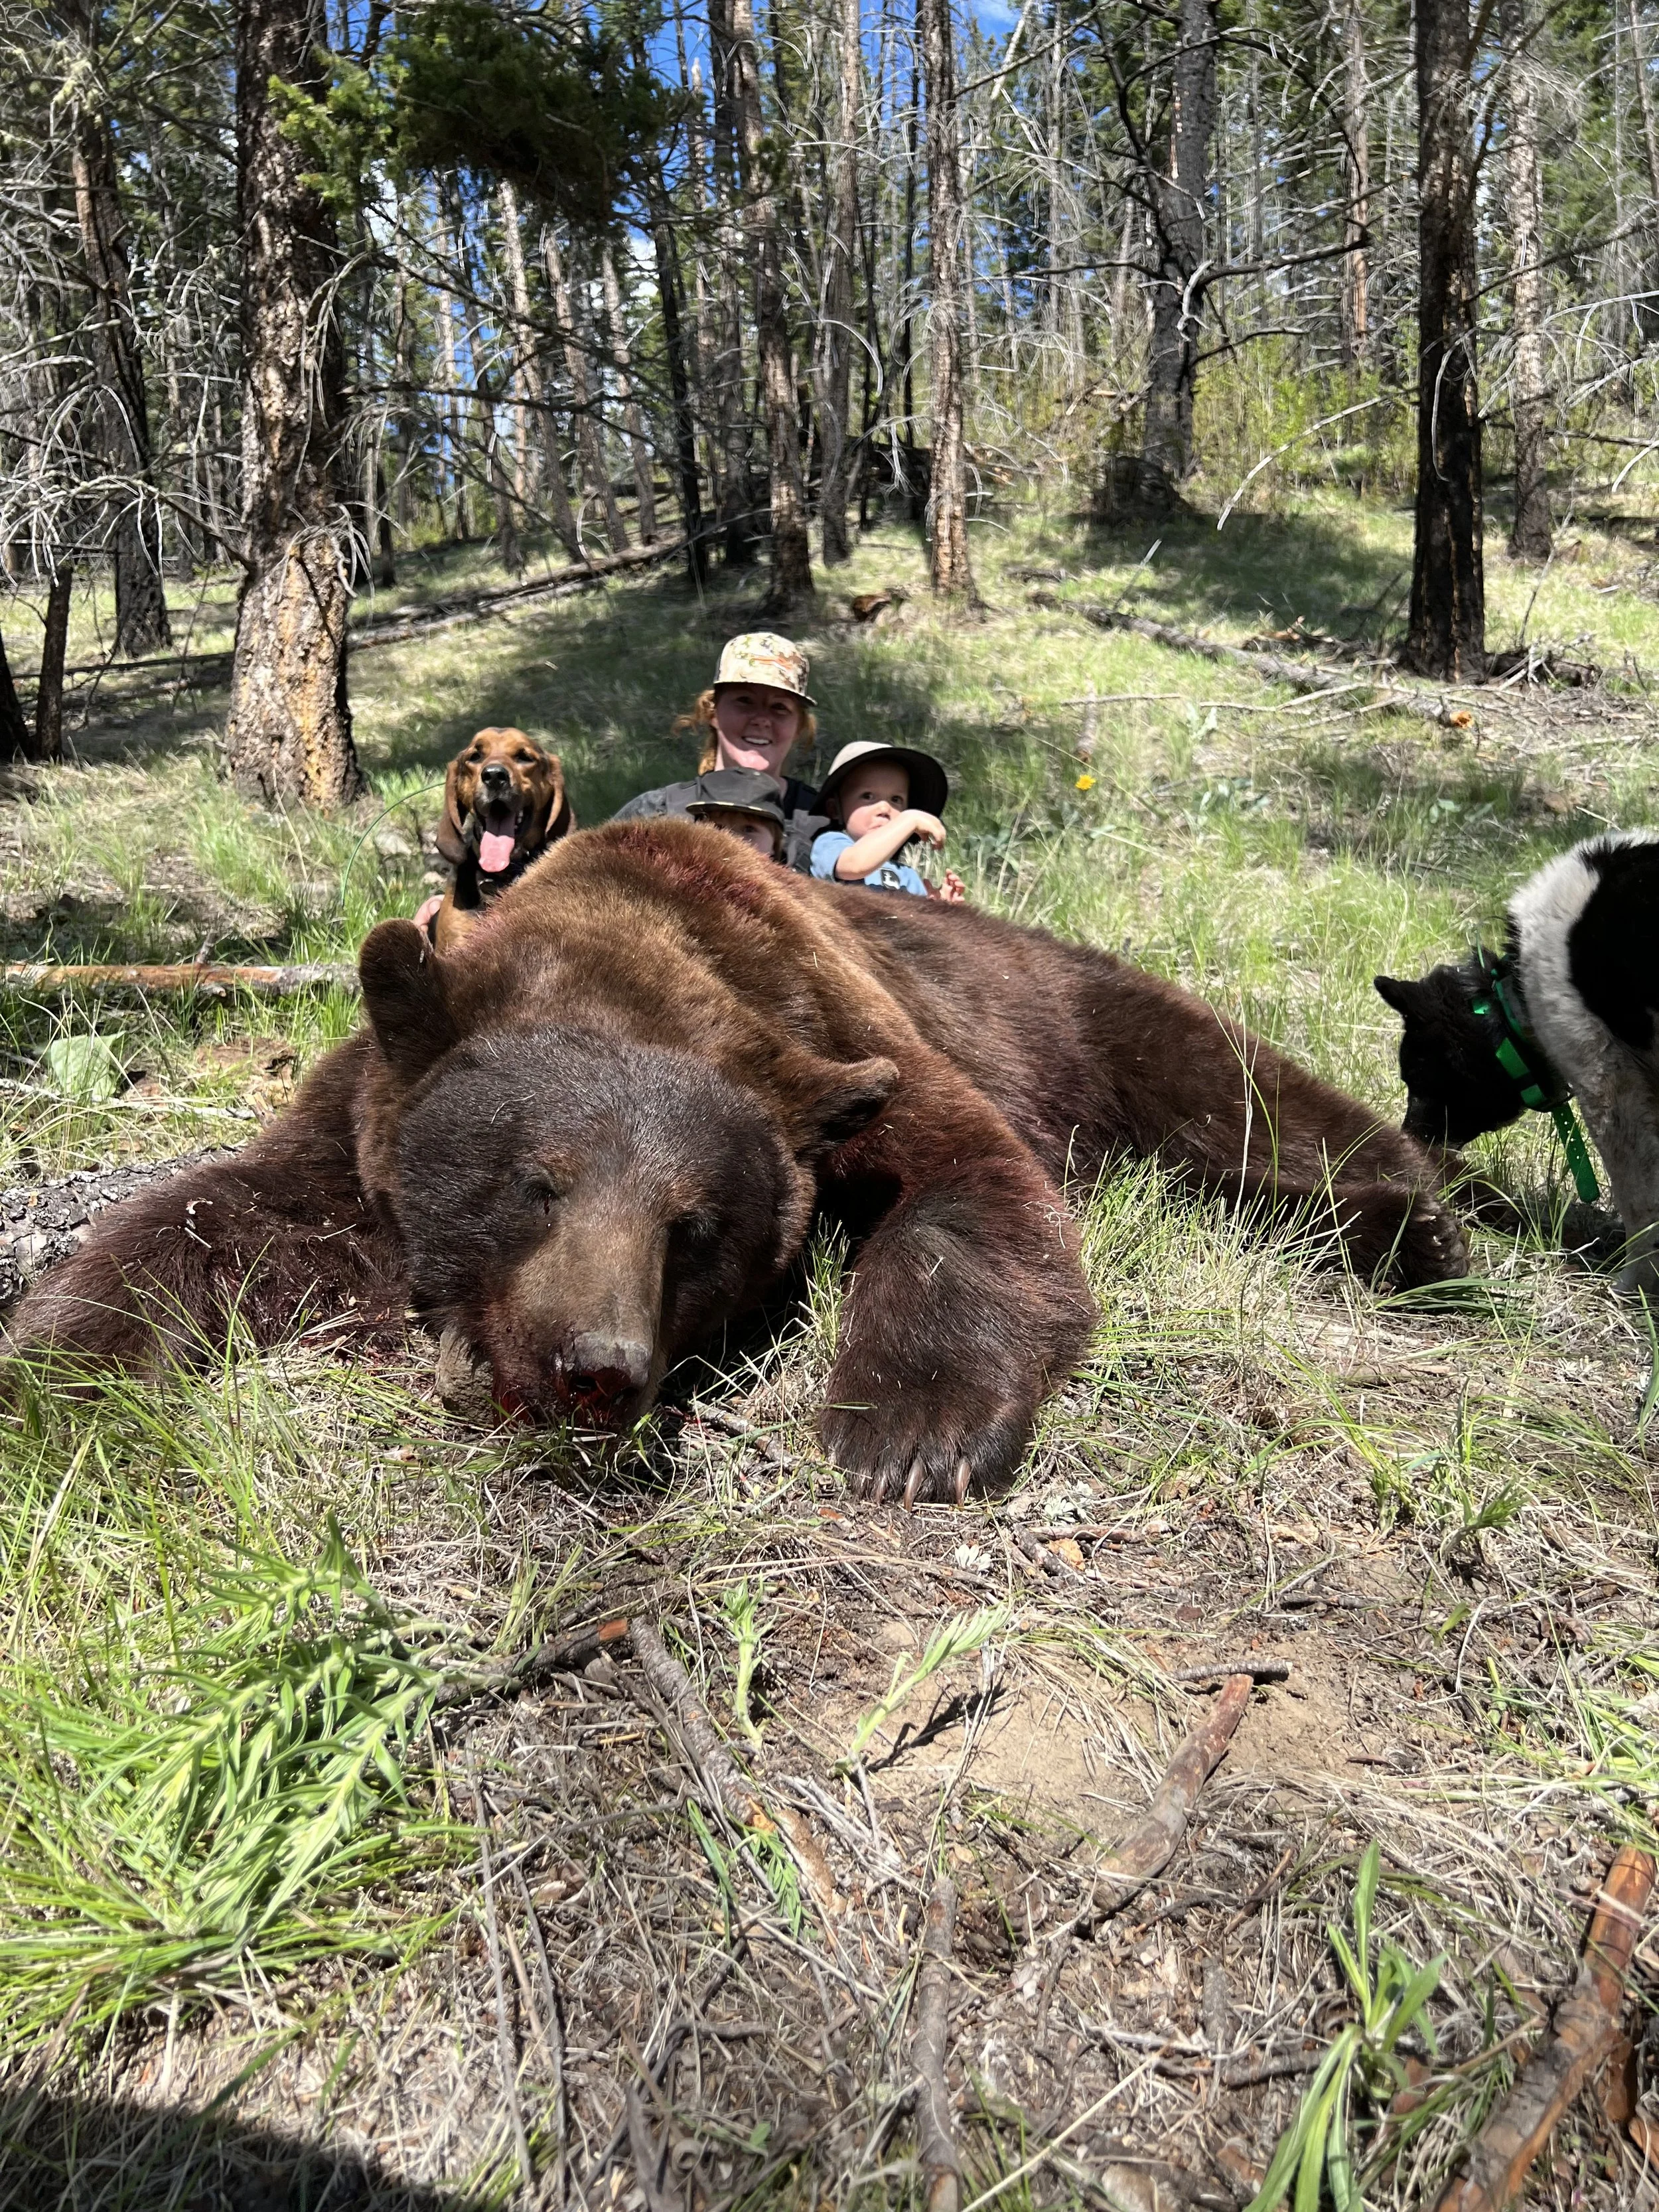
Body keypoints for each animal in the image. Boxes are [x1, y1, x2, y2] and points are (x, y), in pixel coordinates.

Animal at [7, 819, 1467, 1503]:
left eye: (692, 1224)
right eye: (535, 1180)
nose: (595, 1367)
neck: (634, 935)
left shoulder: (847, 1037)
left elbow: (968, 1185)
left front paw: (905, 1429)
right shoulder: (358, 1122)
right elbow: (208, 1225)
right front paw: (47, 1383)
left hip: (1084, 1011)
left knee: (1261, 1105)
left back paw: (1419, 1232)